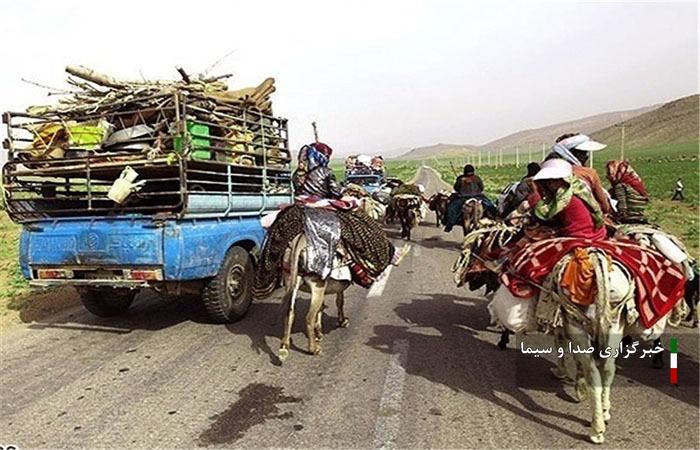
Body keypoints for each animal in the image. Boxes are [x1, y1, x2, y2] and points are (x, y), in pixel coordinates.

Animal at [278, 234, 352, 364]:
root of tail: (300, 240)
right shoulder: (336, 288)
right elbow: (339, 302)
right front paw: (342, 321)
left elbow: (321, 308)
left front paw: (319, 332)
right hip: (317, 285)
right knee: (309, 317)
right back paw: (313, 349)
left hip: (291, 280)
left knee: (289, 313)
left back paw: (285, 346)